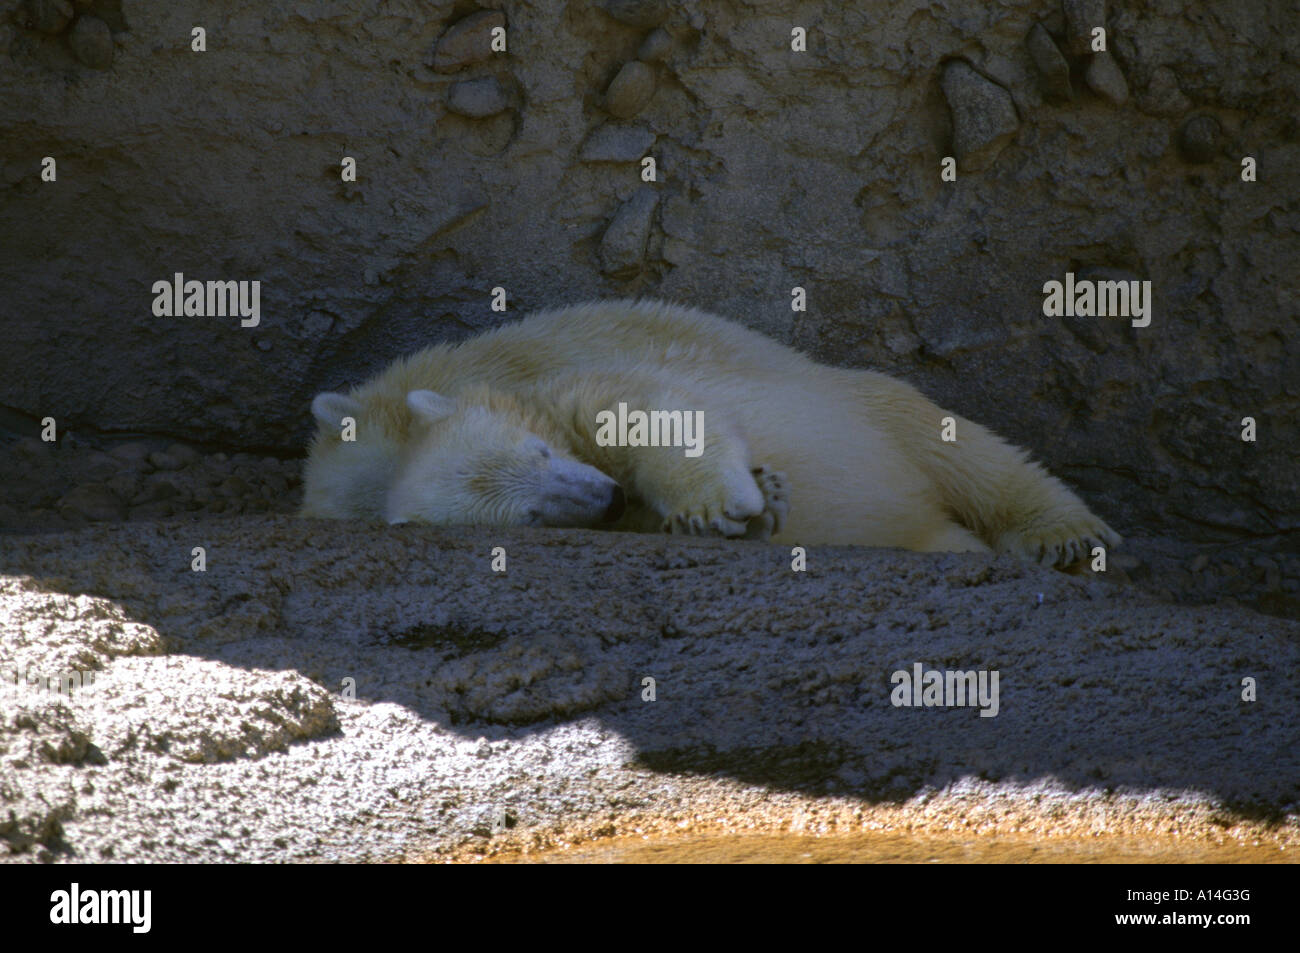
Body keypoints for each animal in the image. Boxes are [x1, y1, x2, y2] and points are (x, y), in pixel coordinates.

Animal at [301, 299, 1118, 564]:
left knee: (964, 450)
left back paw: (1066, 536)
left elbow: (640, 406)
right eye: (528, 517)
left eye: (541, 450)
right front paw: (759, 501)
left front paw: (720, 501)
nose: (599, 496)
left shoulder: (561, 374)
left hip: (865, 401)